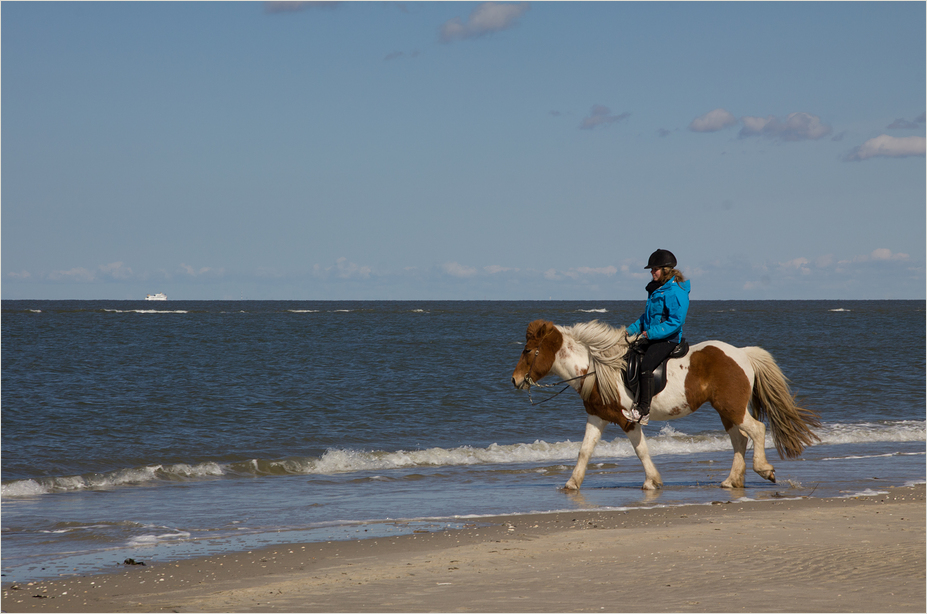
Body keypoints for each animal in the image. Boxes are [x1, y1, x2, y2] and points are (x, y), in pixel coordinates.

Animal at [512, 320, 824, 494]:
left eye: (527, 351)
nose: (514, 380)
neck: (597, 367)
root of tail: (742, 354)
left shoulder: (628, 419)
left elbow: (640, 450)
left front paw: (652, 481)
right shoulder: (598, 416)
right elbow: (585, 451)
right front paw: (571, 484)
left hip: (731, 407)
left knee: (756, 430)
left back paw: (764, 470)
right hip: (726, 411)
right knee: (739, 439)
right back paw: (731, 481)